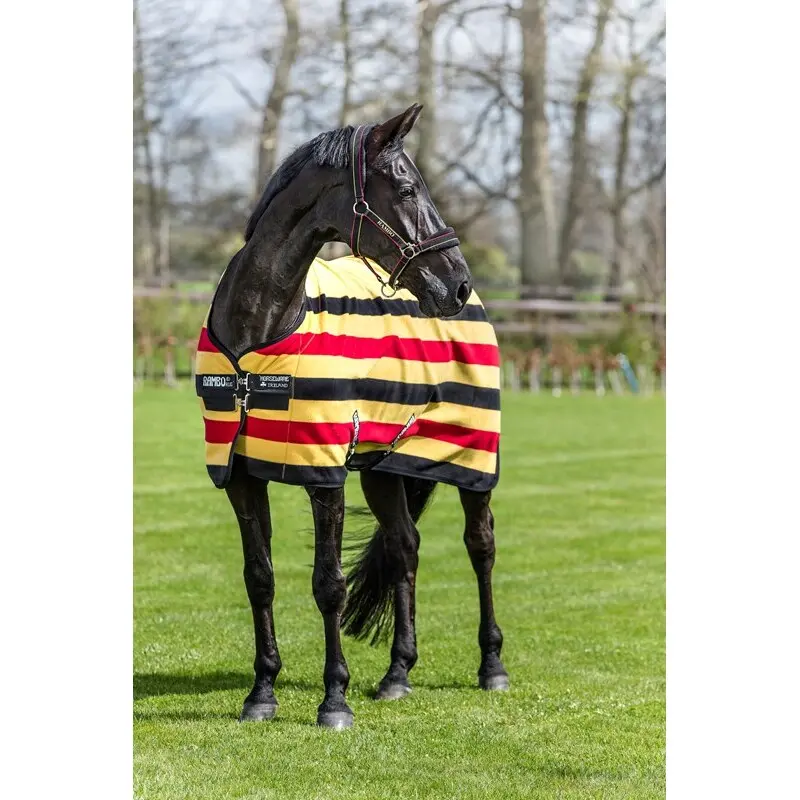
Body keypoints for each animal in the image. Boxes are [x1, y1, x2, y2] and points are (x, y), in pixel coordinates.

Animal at [196, 104, 509, 729]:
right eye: (408, 189)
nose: (457, 282)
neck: (260, 327)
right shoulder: (241, 475)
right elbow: (260, 578)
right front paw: (261, 692)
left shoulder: (326, 476)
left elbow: (329, 584)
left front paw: (334, 699)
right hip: (385, 467)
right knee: (405, 547)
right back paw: (397, 675)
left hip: (473, 459)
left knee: (480, 546)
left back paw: (492, 666)